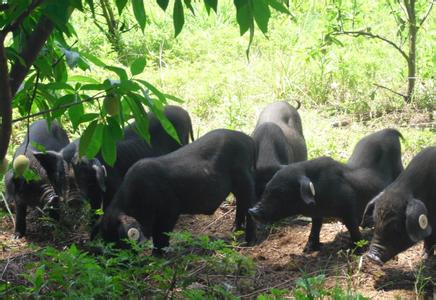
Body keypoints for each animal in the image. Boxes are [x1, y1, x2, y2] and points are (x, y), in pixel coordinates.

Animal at [250, 129, 404, 253]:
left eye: (281, 192)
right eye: (267, 188)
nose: (252, 210)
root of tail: (390, 131)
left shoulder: (348, 208)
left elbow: (353, 228)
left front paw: (358, 250)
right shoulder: (317, 214)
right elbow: (315, 227)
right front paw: (308, 250)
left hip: (400, 169)